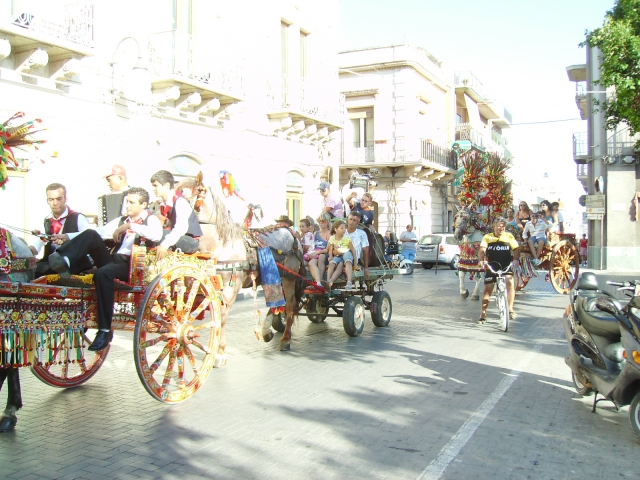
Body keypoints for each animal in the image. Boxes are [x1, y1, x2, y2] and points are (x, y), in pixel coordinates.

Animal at [176, 174, 304, 354]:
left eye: (184, 193)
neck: (220, 244)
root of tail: (290, 231)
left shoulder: (231, 286)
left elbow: (222, 314)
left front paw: (220, 351)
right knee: (279, 302)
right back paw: (266, 331)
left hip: (289, 279)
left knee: (291, 305)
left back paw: (285, 338)